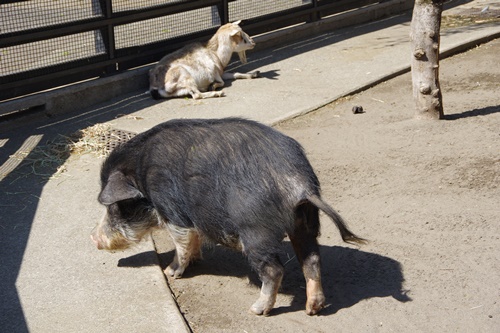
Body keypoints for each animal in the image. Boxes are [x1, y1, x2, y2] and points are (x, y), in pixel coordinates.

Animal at [91, 116, 364, 314]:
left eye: (113, 207)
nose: (93, 238)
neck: (139, 174)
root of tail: (298, 182)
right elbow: (193, 239)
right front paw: (196, 261)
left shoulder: (171, 209)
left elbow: (181, 242)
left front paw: (171, 272)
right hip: (305, 224)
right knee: (312, 260)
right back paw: (312, 309)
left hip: (255, 231)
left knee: (274, 269)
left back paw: (256, 310)